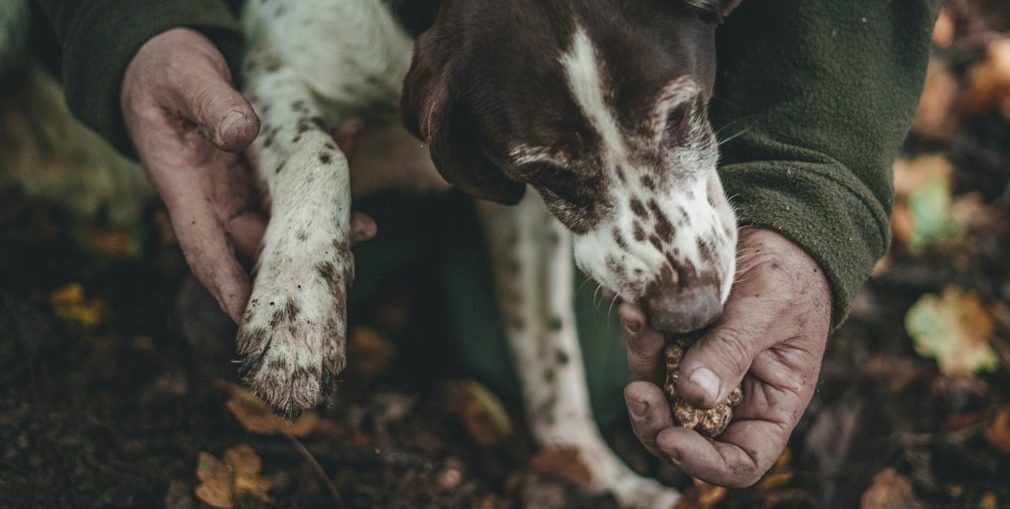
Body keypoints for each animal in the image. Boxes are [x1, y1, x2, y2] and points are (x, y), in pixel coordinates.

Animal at [236, 0, 743, 504]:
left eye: (678, 113)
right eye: (548, 171)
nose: (689, 312)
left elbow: (550, 355)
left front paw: (596, 472)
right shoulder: (274, 71)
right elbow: (317, 153)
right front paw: (297, 310)